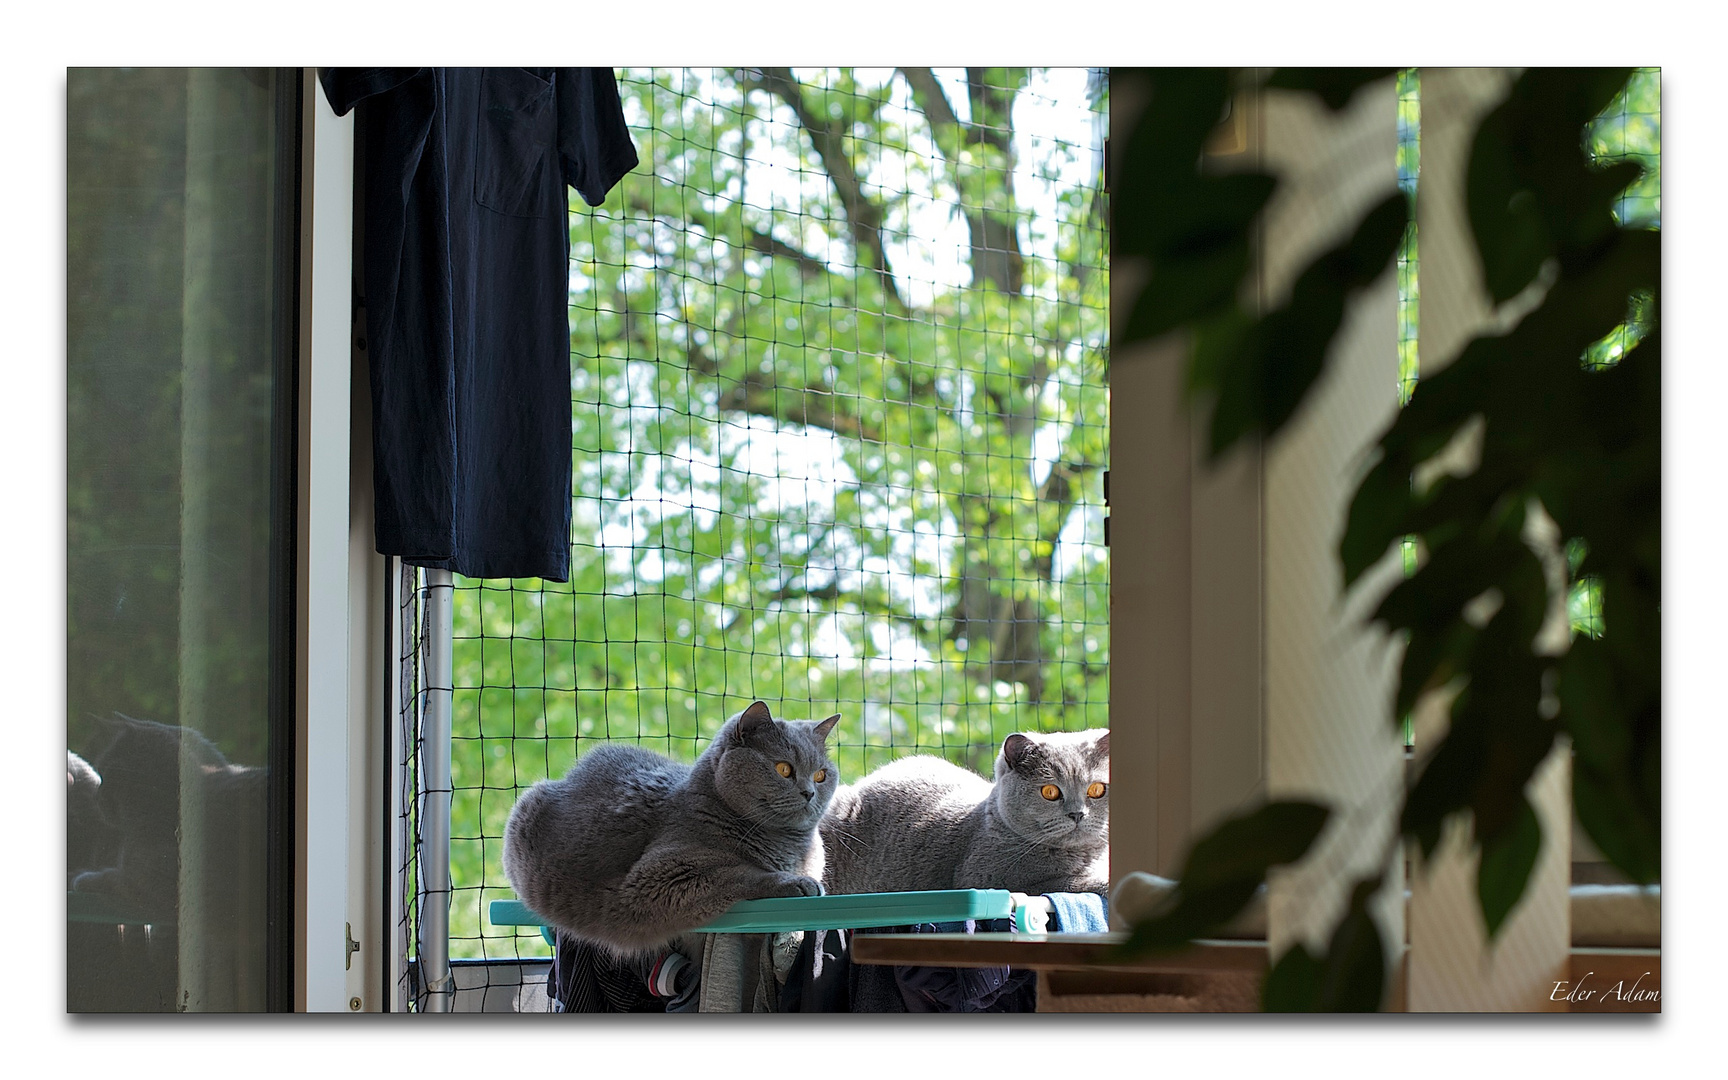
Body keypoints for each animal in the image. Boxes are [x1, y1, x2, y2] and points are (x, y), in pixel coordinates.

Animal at [501, 705, 843, 953]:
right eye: (783, 769)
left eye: (821, 774)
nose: (810, 792)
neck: (791, 846)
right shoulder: (652, 879)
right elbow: (739, 872)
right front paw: (795, 882)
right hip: (525, 808)